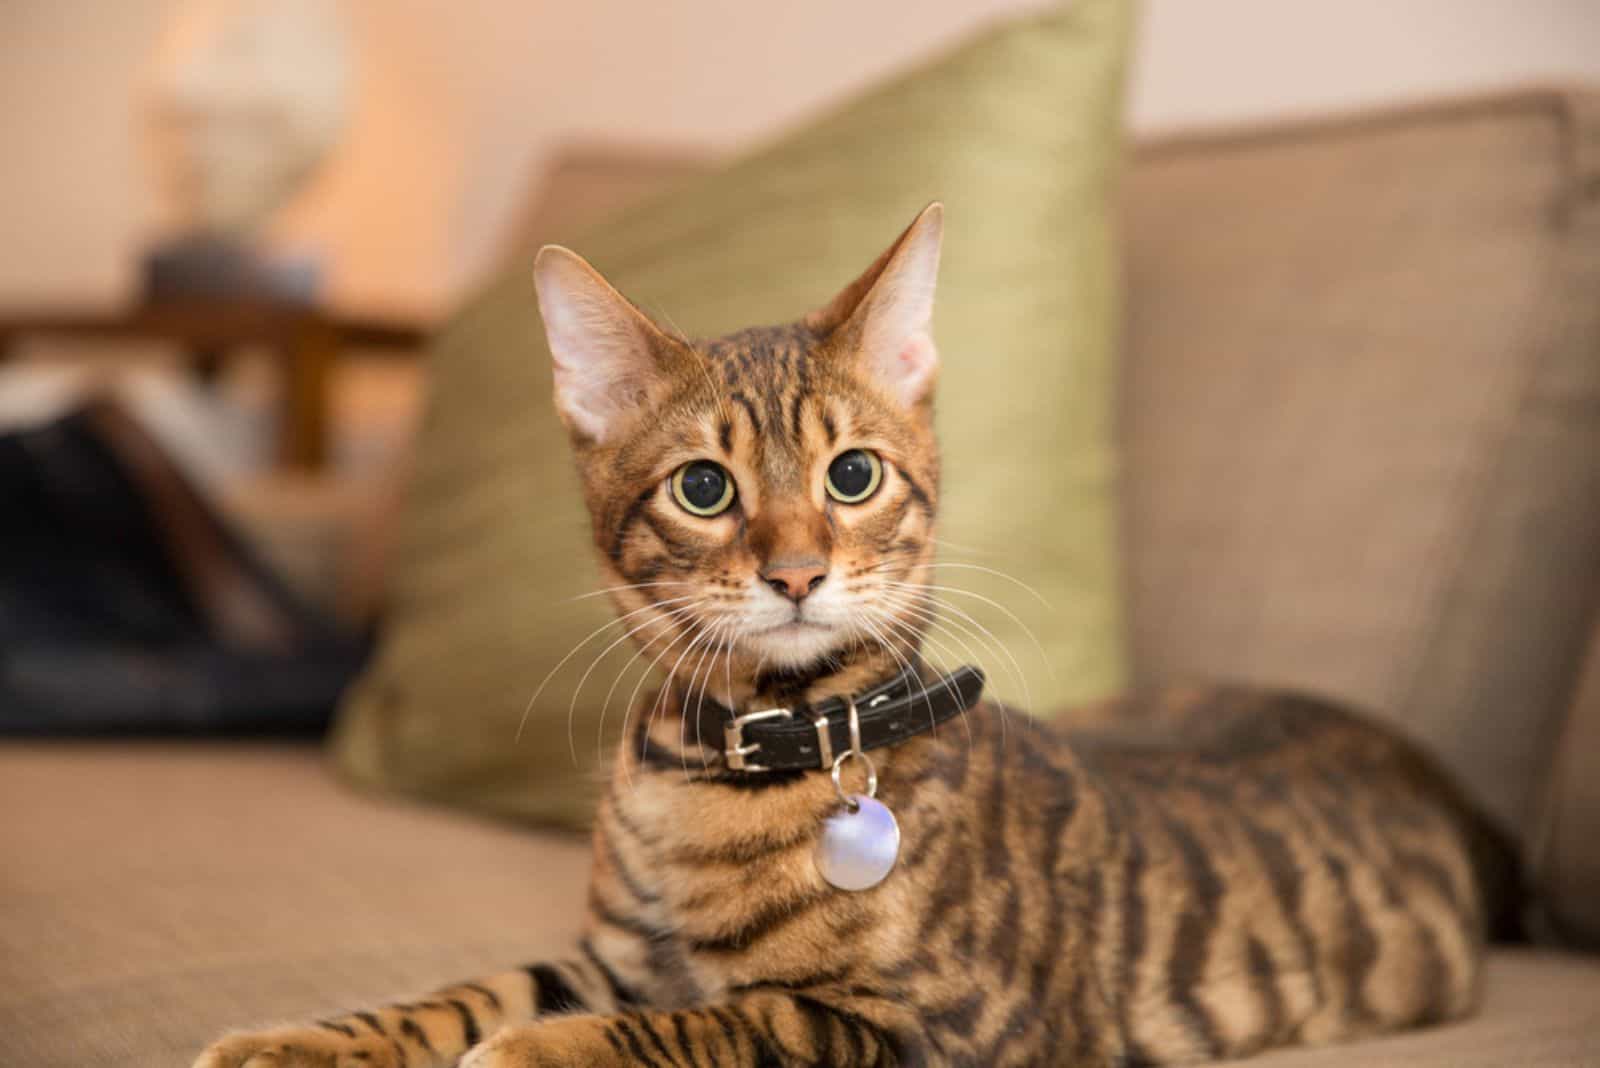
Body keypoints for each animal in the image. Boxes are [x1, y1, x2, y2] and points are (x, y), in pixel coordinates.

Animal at [196, 204, 1510, 1061]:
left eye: (853, 473)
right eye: (703, 489)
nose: (794, 572)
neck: (719, 769)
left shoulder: (935, 1027)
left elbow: (719, 1022)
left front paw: (538, 1051)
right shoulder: (608, 951)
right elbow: (474, 988)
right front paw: (309, 1042)